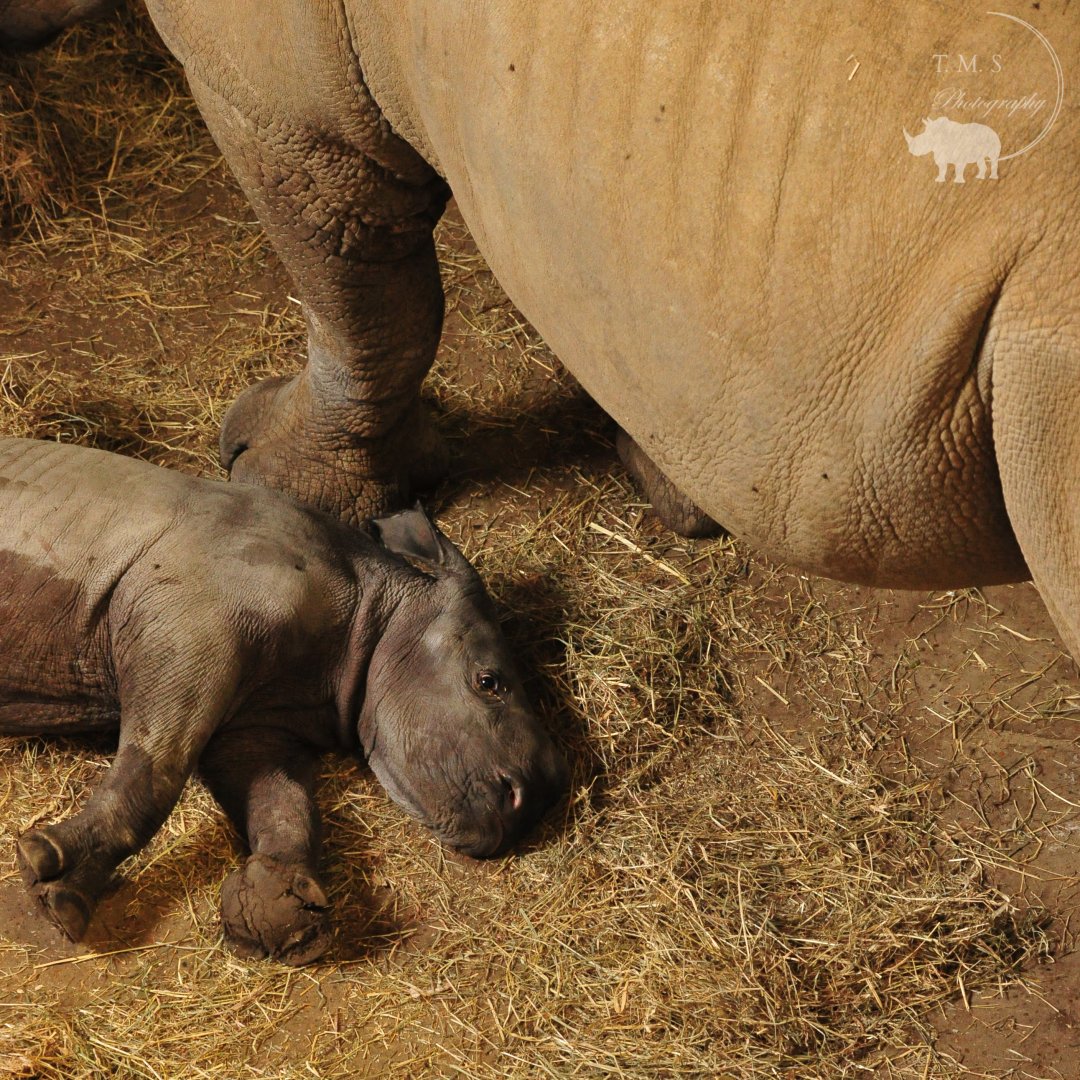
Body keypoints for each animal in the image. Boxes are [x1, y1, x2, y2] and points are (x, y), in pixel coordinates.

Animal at [0, 437, 565, 964]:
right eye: (488, 682)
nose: (526, 803)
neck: (368, 613)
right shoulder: (189, 617)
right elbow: (156, 769)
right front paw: (55, 887)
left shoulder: (259, 716)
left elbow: (283, 803)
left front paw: (276, 911)